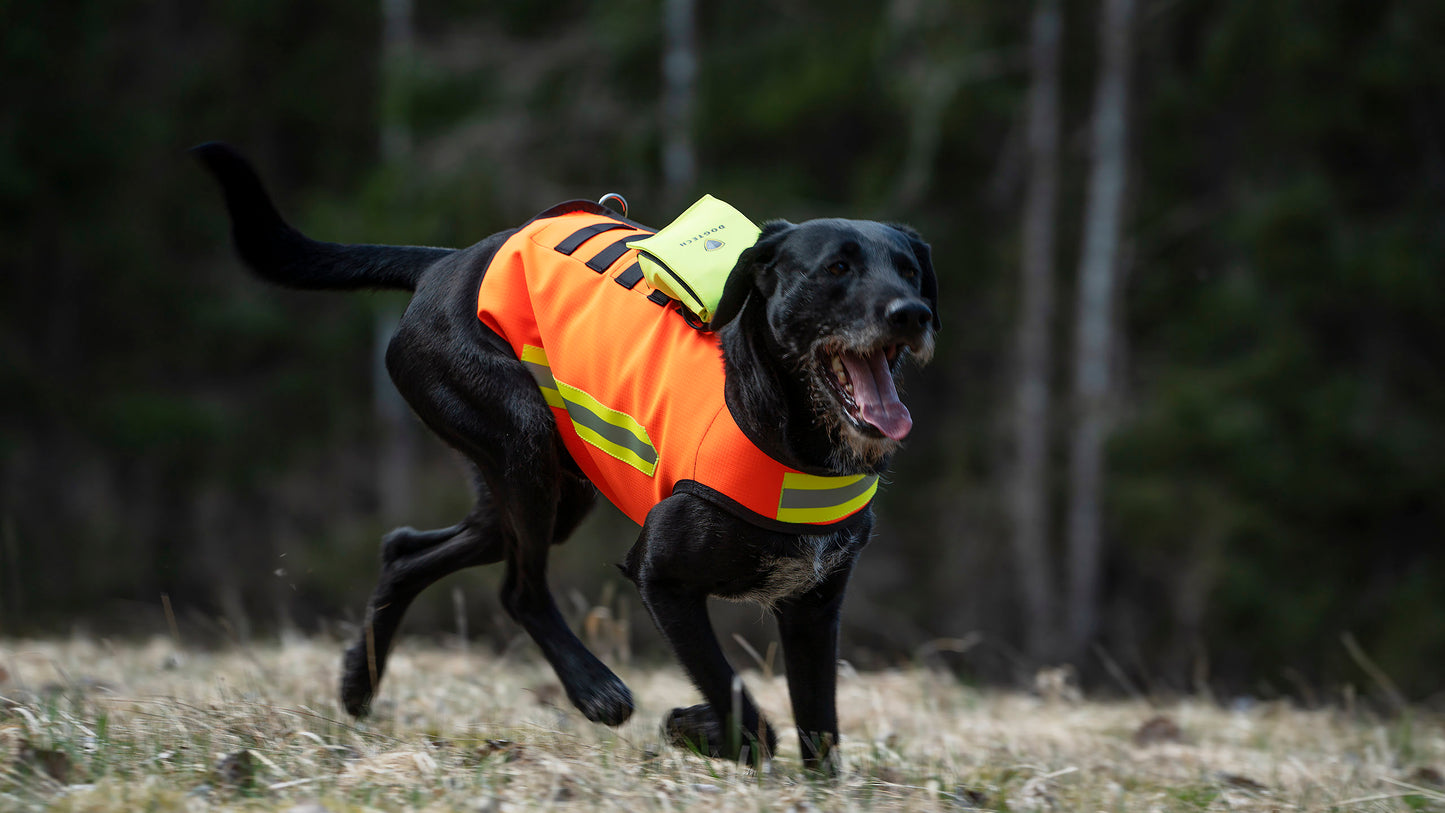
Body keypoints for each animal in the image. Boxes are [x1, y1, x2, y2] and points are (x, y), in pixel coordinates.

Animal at [195, 142, 936, 774]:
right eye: (836, 267)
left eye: (908, 269)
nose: (913, 313)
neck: (792, 437)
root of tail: (444, 264)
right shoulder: (663, 578)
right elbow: (740, 708)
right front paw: (693, 727)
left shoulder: (813, 607)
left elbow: (820, 731)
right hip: (518, 441)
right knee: (518, 589)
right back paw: (592, 688)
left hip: (546, 485)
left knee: (406, 550)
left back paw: (357, 683)